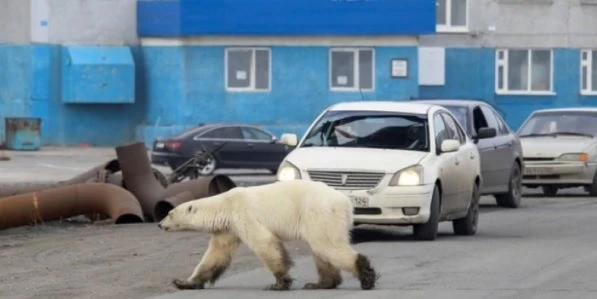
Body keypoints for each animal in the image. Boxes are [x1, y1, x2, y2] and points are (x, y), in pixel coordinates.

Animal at [157, 179, 378, 292]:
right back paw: (320, 283)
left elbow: (265, 243)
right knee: (321, 251)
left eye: (169, 213)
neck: (224, 205)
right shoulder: (228, 229)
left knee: (326, 245)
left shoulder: (243, 214)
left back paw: (366, 276)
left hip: (319, 212)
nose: (159, 224)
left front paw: (279, 283)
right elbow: (215, 255)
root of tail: (346, 202)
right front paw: (184, 282)